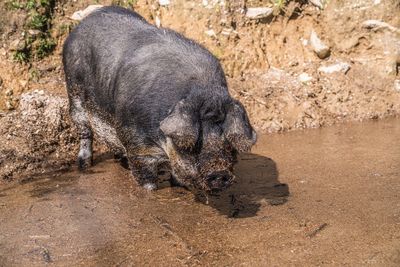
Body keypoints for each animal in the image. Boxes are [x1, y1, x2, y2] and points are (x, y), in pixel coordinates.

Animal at [62, 5, 256, 193]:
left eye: (228, 140)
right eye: (196, 141)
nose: (220, 173)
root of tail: (84, 21)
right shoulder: (137, 144)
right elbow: (146, 179)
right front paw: (150, 191)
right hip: (74, 92)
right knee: (84, 131)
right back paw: (84, 166)